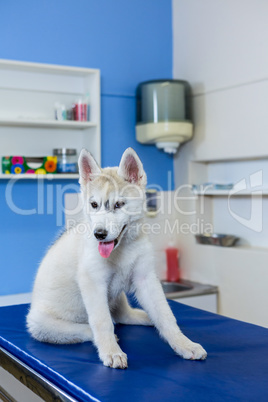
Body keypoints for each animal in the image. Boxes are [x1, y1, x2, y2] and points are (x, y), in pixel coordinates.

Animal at [26, 148, 207, 368]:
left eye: (119, 204)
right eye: (94, 204)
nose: (99, 234)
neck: (123, 248)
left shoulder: (145, 278)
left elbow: (165, 316)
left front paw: (184, 344)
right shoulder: (93, 283)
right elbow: (102, 322)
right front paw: (111, 352)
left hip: (116, 295)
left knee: (123, 315)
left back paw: (146, 317)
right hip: (40, 324)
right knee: (92, 325)